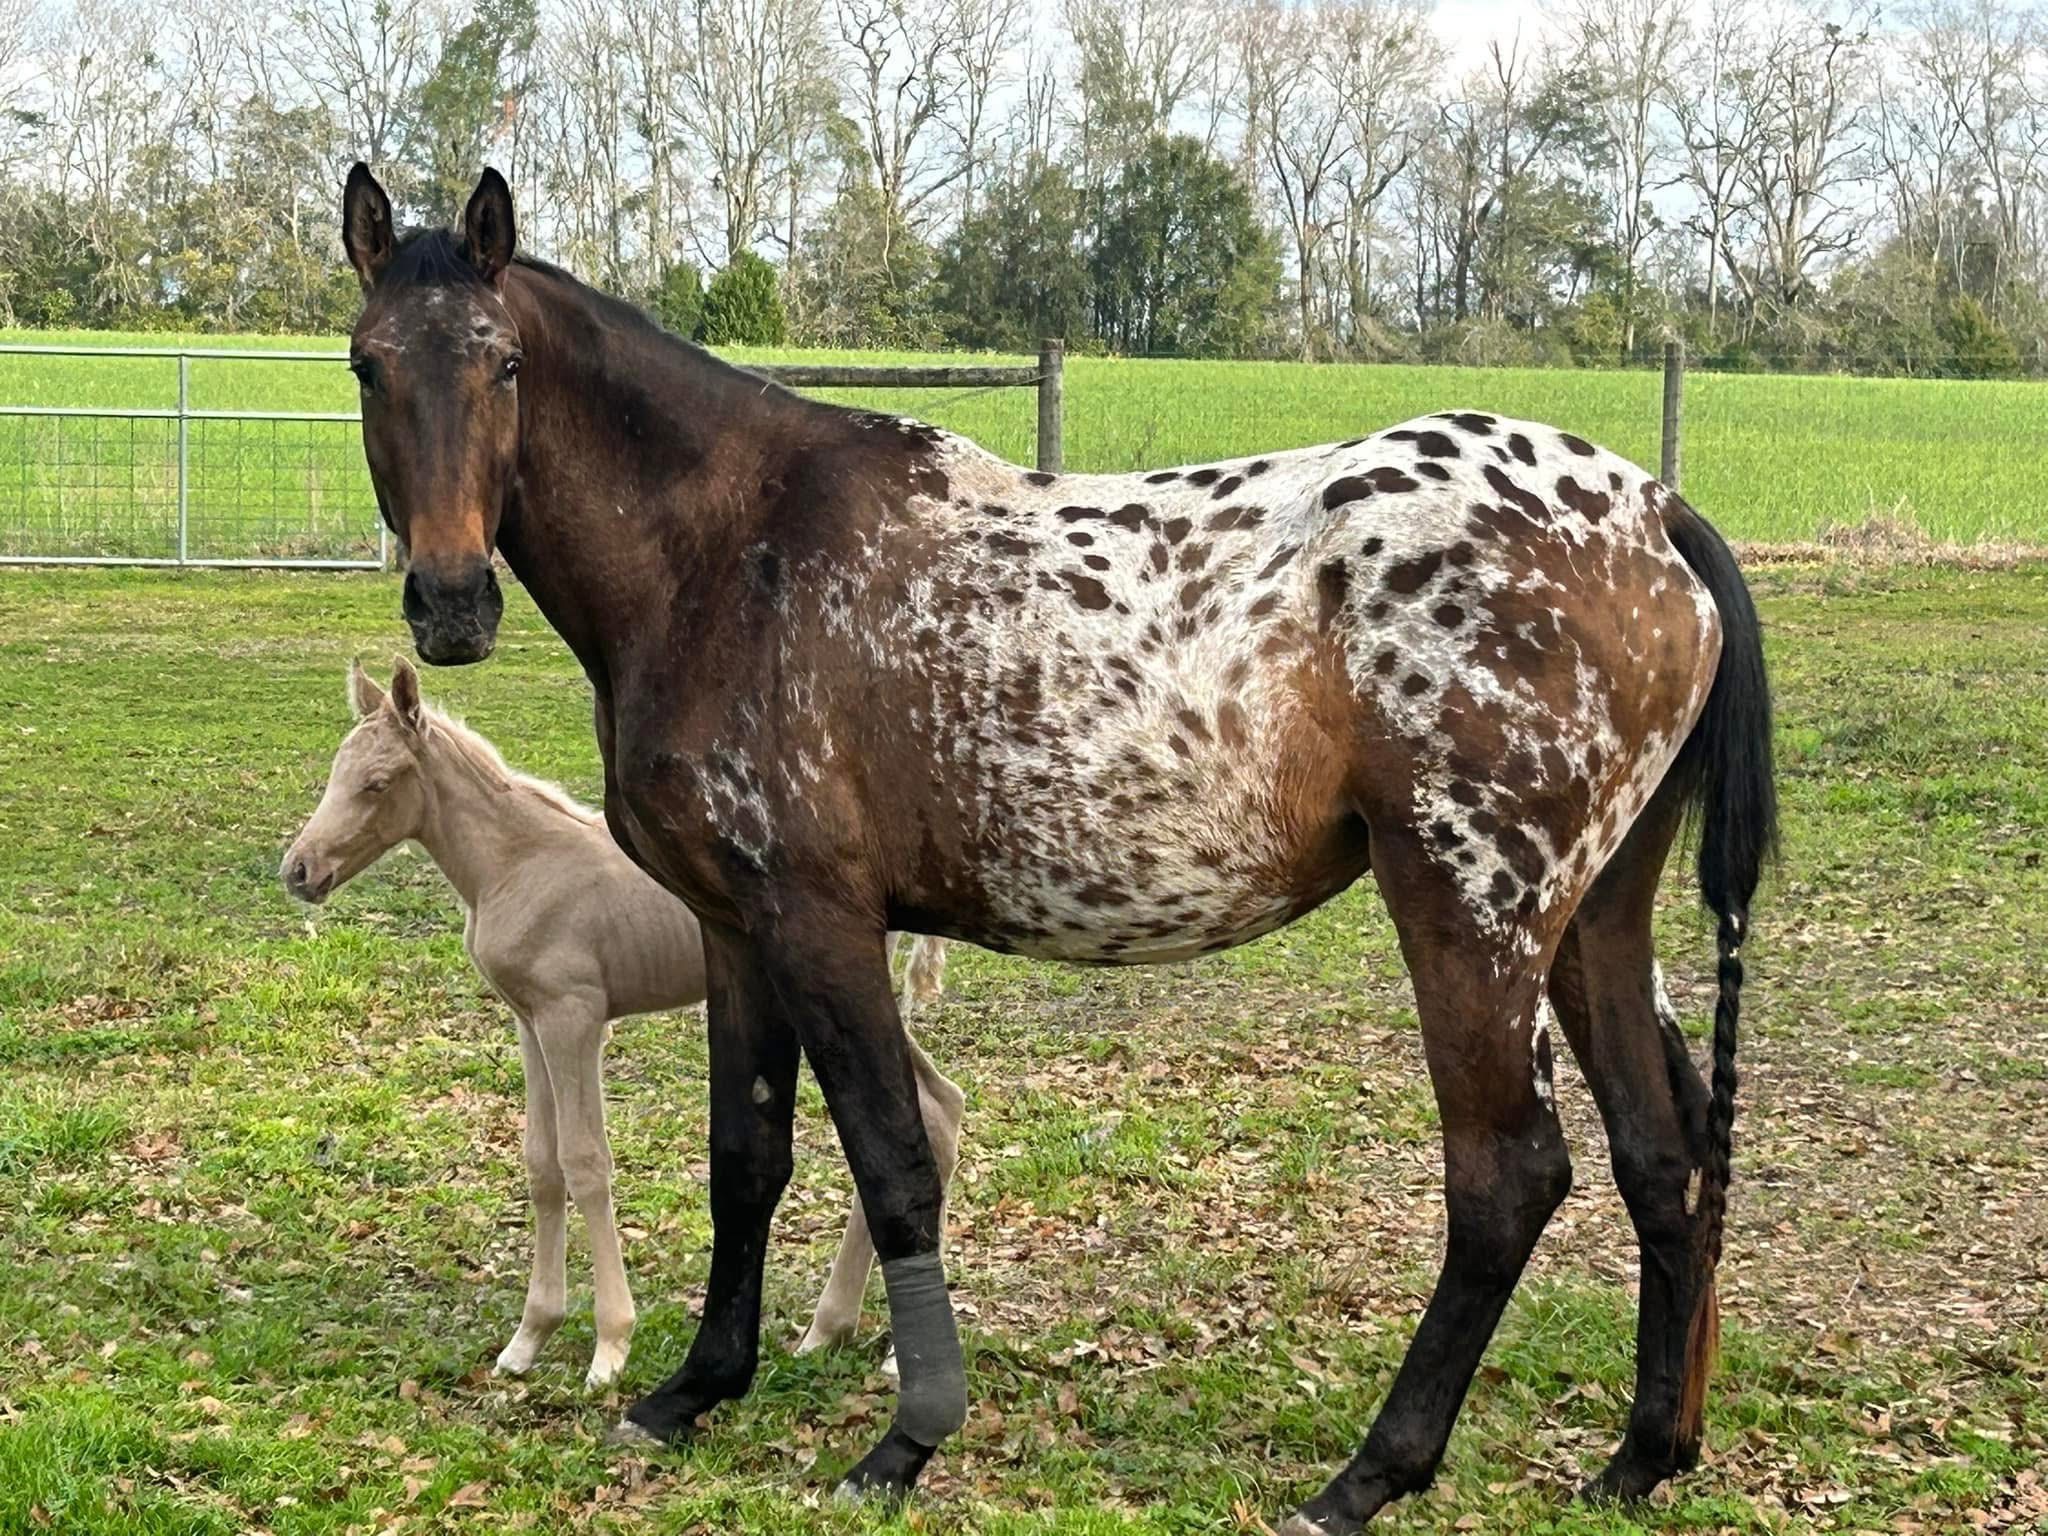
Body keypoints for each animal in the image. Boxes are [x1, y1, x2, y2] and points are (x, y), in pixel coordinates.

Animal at [281, 655, 960, 1391]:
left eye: (377, 784)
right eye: (337, 771)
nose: (299, 870)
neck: (516, 864)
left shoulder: (573, 1017)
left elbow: (585, 1161)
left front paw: (610, 1345)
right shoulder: (529, 1022)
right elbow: (541, 1163)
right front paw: (529, 1339)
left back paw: (877, 1344)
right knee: (942, 1106)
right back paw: (836, 1332)